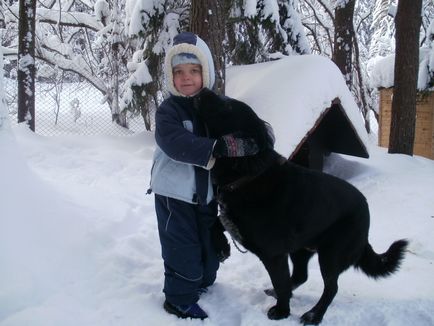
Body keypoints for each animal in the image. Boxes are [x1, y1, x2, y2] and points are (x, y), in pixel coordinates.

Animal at [195, 88, 408, 324]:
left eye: (228, 106)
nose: (203, 90)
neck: (249, 173)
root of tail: (366, 211)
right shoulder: (232, 220)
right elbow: (213, 224)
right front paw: (221, 247)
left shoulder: (274, 254)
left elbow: (281, 281)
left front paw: (281, 311)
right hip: (301, 249)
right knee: (300, 275)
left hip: (331, 254)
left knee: (330, 288)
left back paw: (313, 315)